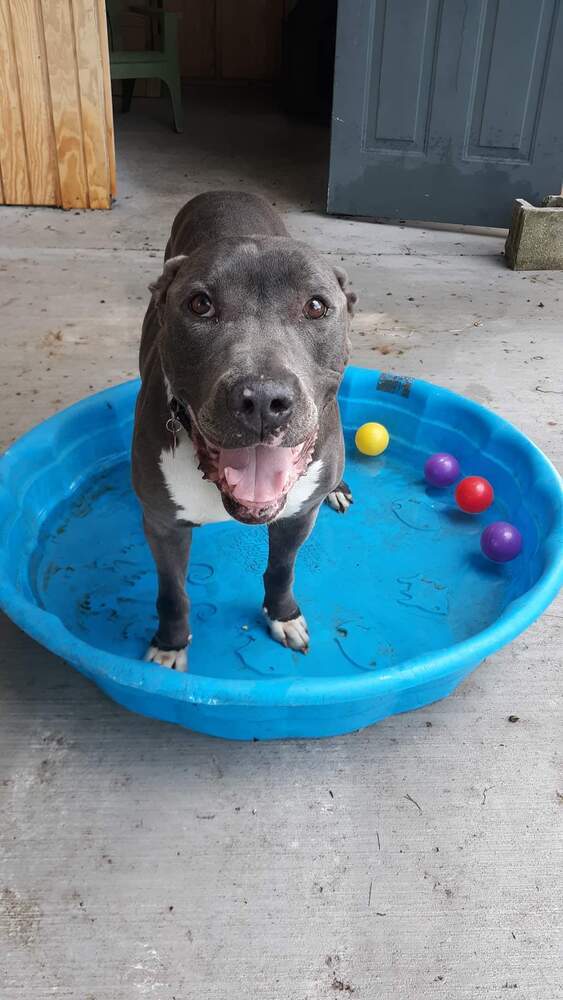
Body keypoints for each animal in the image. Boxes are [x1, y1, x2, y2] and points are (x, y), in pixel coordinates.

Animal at [131, 190, 356, 668]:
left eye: (315, 306)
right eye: (200, 304)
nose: (263, 401)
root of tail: (223, 191)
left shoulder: (298, 516)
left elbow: (282, 569)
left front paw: (283, 615)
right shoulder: (162, 524)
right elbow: (172, 593)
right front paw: (170, 643)